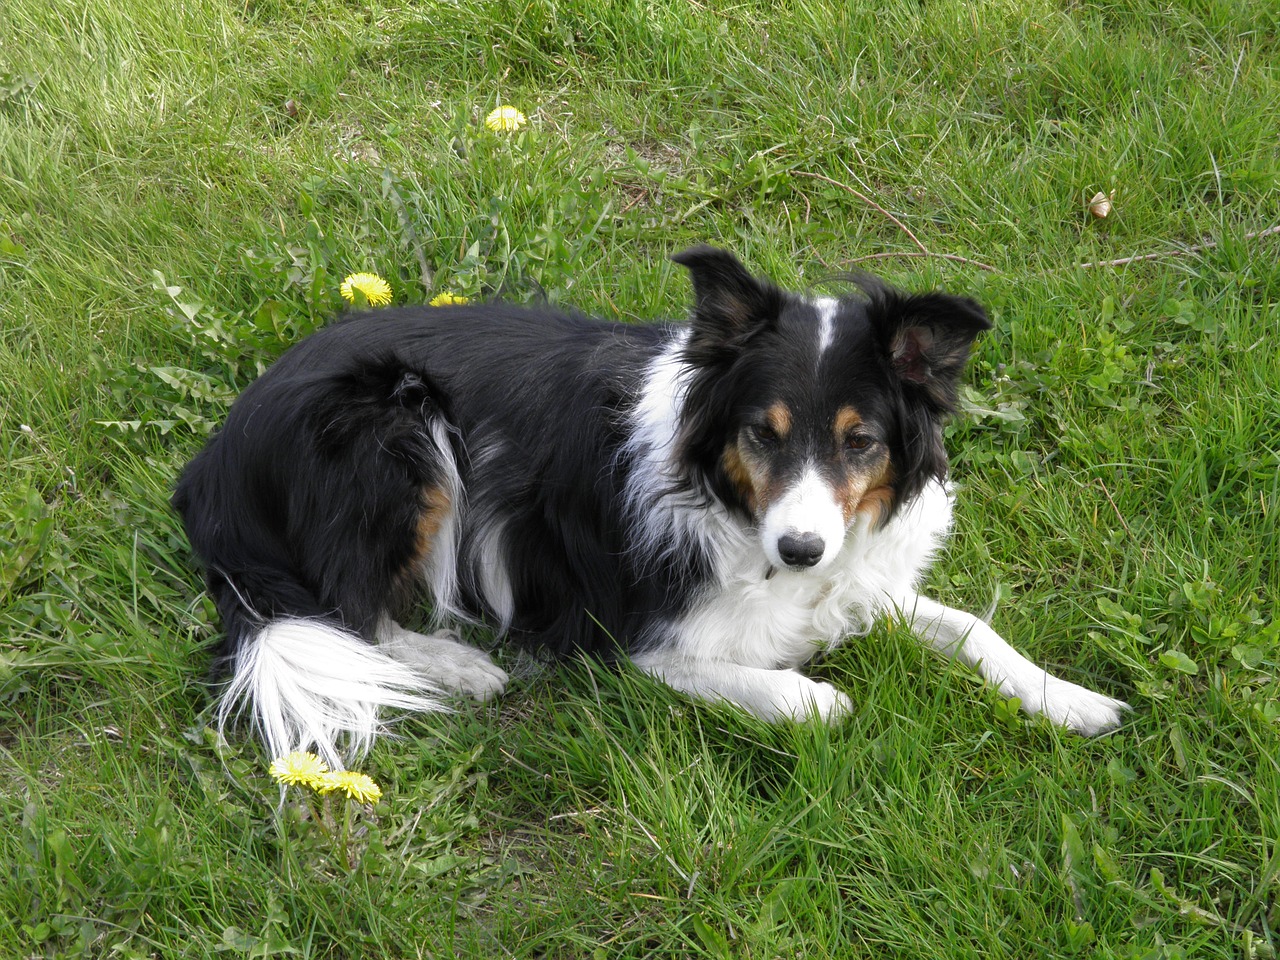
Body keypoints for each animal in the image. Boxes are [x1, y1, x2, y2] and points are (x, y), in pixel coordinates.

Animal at [175, 245, 1126, 768]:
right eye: (761, 433)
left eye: (861, 442)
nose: (800, 550)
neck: (735, 504)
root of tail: (211, 465)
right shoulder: (644, 642)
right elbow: (804, 696)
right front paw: (817, 695)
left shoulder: (862, 580)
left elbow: (971, 628)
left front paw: (1073, 701)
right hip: (396, 429)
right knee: (349, 610)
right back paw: (458, 665)